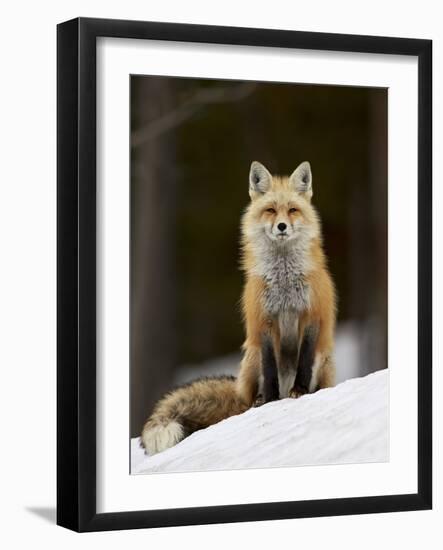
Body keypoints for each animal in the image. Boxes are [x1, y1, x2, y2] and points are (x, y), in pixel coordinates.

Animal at [141, 162, 336, 460]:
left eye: (292, 210)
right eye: (270, 210)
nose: (282, 226)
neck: (283, 280)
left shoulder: (311, 315)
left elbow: (303, 361)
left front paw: (300, 391)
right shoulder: (263, 322)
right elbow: (269, 369)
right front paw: (270, 400)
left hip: (323, 361)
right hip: (250, 357)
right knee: (251, 393)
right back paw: (258, 401)